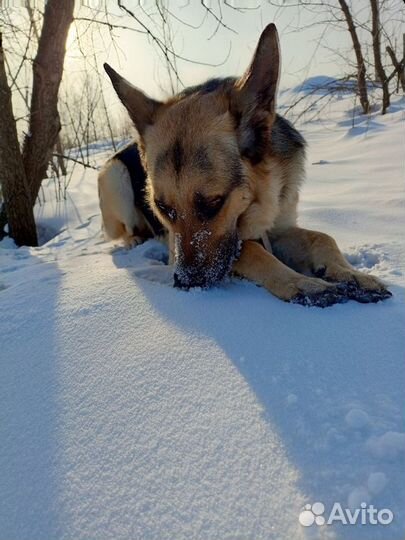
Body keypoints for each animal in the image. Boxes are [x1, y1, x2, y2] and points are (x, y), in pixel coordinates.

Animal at [98, 23, 392, 308]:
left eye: (213, 203)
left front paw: (351, 274)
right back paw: (134, 240)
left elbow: (322, 237)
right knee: (125, 230)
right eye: (162, 208)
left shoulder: (279, 227)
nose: (184, 283)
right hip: (115, 175)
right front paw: (303, 284)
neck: (256, 202)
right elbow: (250, 250)